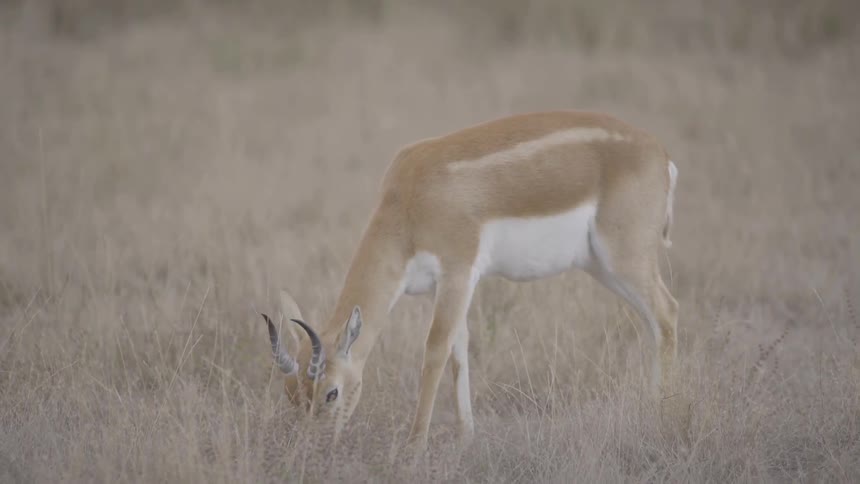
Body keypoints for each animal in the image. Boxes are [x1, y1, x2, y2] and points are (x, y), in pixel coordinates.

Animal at [261, 110, 679, 444]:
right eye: (291, 392)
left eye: (331, 392)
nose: (313, 447)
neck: (409, 197)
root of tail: (660, 153)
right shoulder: (440, 286)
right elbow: (459, 348)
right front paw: (467, 437)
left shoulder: (458, 273)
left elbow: (436, 350)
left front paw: (413, 448)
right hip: (601, 266)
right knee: (654, 321)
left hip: (624, 257)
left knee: (667, 312)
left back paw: (659, 418)